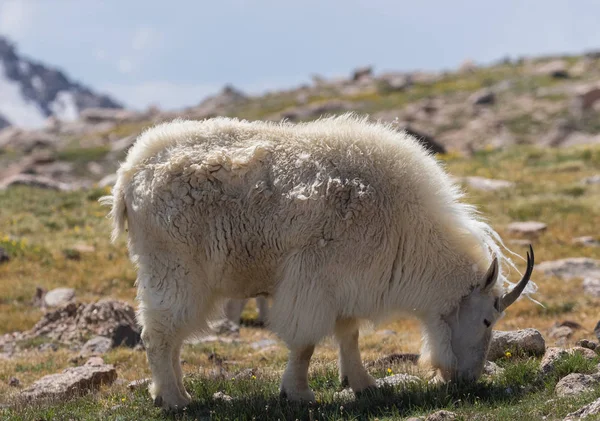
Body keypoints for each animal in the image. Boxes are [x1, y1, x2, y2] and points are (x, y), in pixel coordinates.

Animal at [101, 113, 536, 408]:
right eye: (487, 319)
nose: (469, 380)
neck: (405, 227)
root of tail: (128, 177)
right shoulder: (313, 281)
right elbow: (306, 342)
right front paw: (298, 393)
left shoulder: (346, 284)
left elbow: (349, 335)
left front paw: (362, 384)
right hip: (175, 270)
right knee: (158, 335)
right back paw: (177, 400)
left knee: (170, 338)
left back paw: (171, 392)